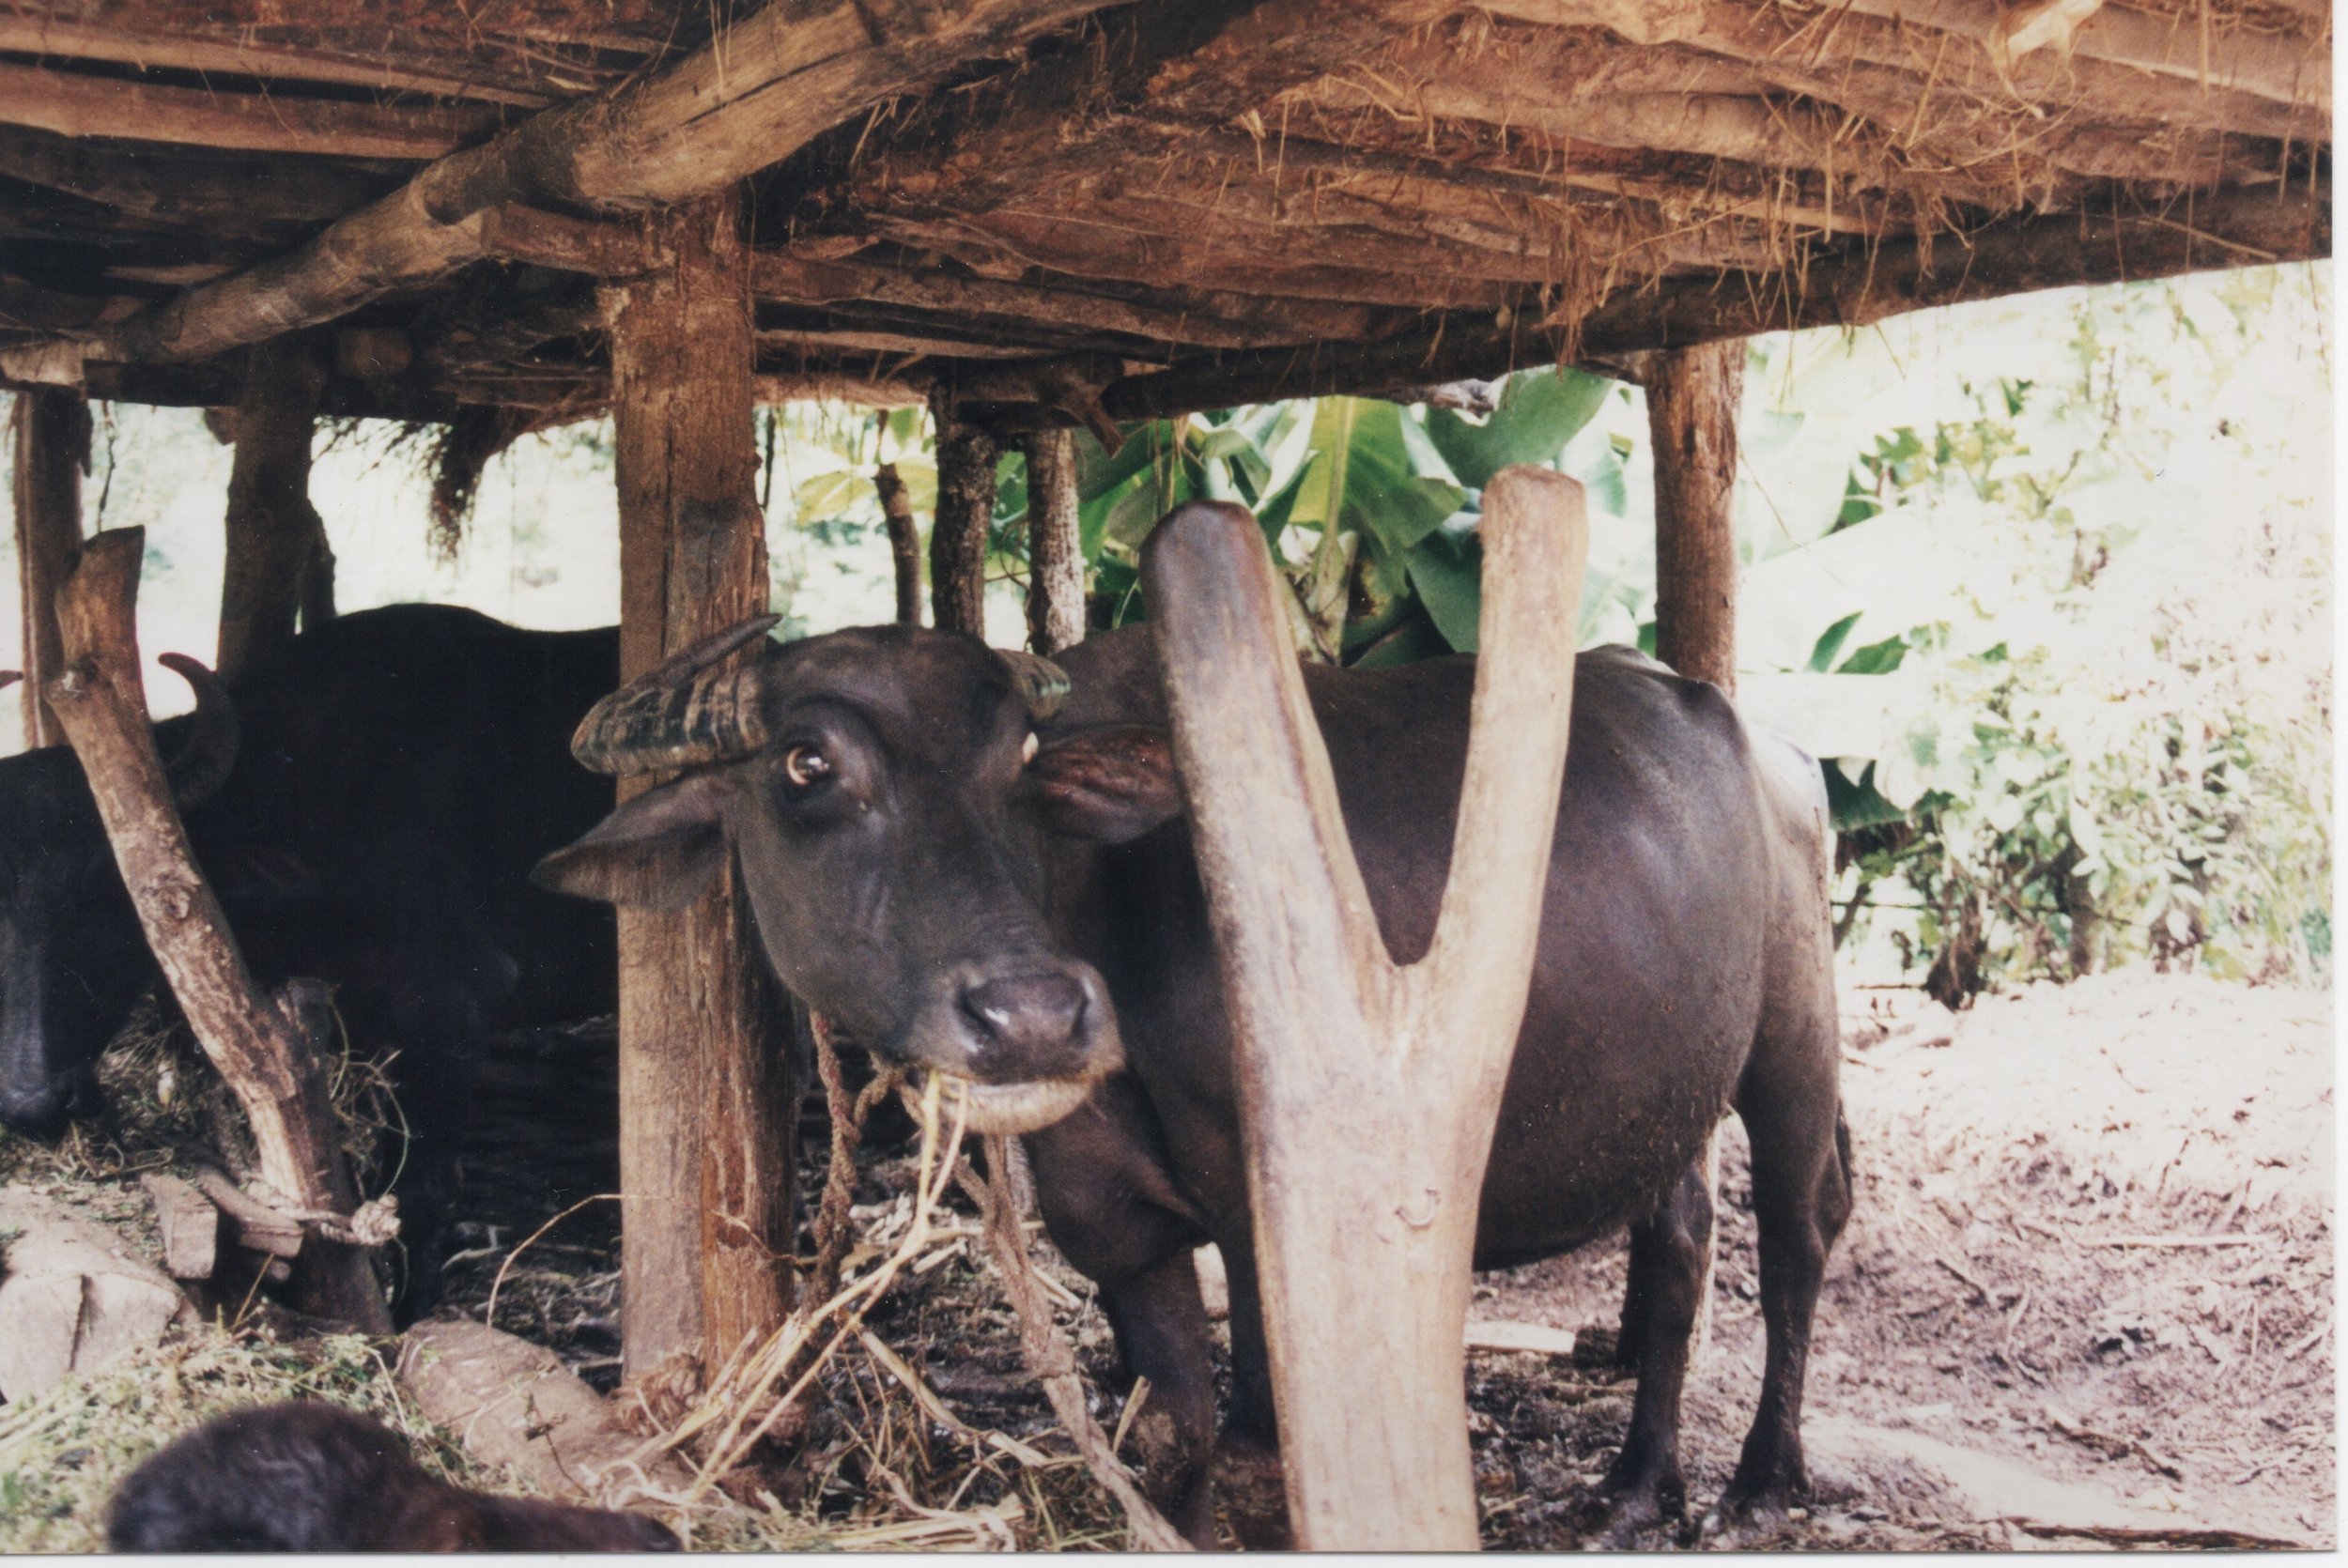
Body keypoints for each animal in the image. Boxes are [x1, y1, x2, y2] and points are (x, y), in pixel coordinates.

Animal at [536, 510, 1852, 1547]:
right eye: (807, 762)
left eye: (1021, 756)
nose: (1034, 1014)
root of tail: (1773, 748)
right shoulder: (1116, 1225)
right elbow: (1177, 1433)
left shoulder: (1272, 1219)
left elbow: (1266, 1434)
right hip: (1670, 1081)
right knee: (1678, 1240)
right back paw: (1634, 1486)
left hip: (1794, 1042)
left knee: (1796, 1237)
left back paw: (1759, 1482)